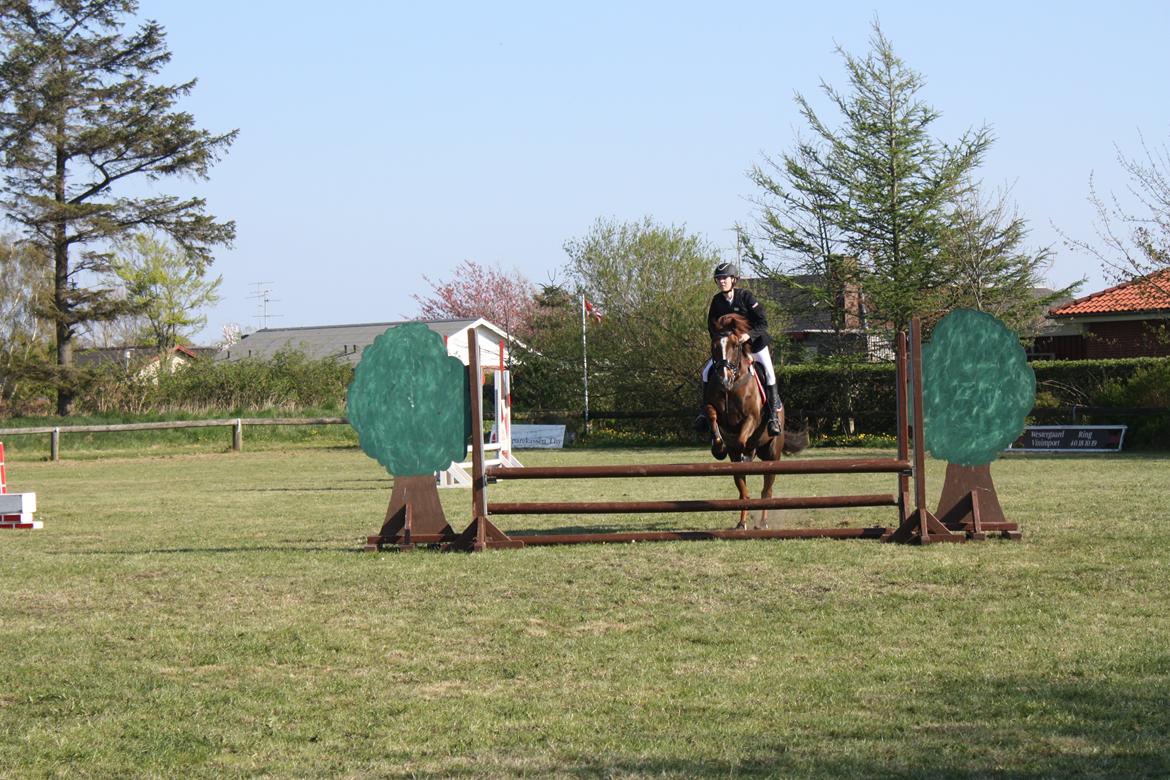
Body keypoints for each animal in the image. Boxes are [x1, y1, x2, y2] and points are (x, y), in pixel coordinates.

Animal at [697, 315, 809, 530]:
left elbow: (742, 439)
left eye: (735, 345)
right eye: (714, 346)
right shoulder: (715, 411)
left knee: (767, 490)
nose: (723, 380)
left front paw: (743, 452)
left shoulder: (751, 418)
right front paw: (718, 447)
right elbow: (712, 416)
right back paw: (742, 523)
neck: (733, 384)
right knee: (744, 492)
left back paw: (763, 522)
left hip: (772, 455)